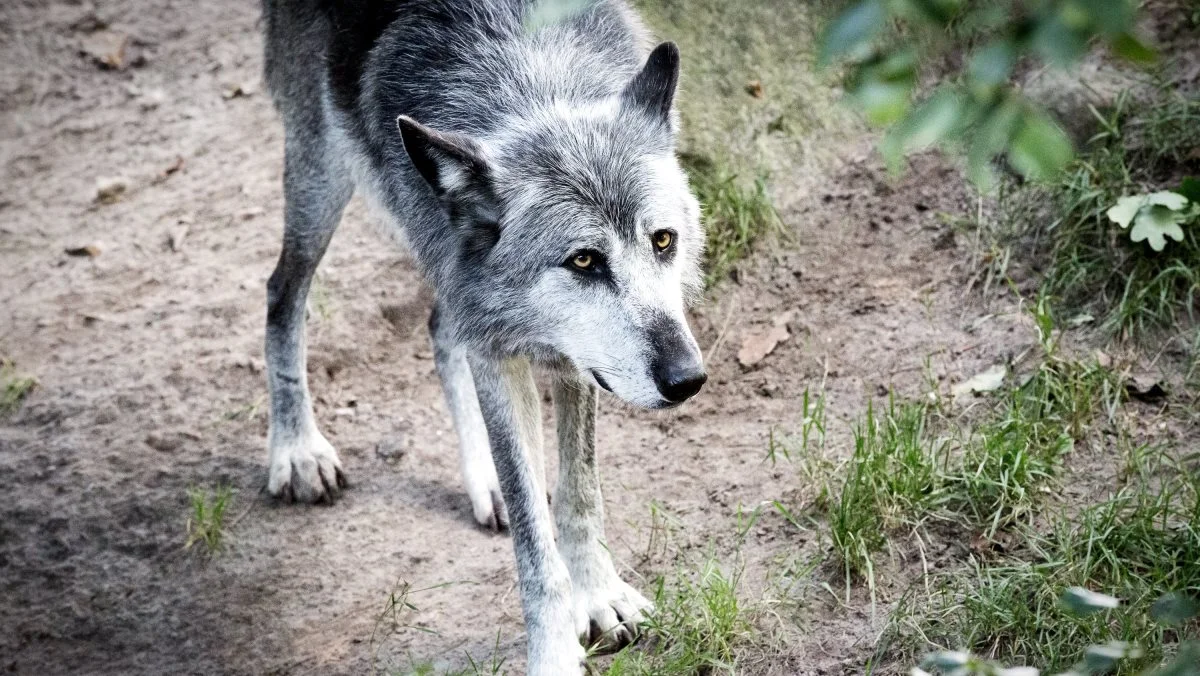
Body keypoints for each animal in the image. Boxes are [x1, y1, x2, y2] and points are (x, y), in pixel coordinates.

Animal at [259, 0, 705, 667]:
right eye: (583, 261)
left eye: (663, 241)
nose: (687, 379)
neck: (528, 76)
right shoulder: (504, 347)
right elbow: (534, 539)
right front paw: (553, 655)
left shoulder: (574, 357)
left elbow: (578, 494)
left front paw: (599, 597)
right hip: (322, 171)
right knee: (281, 296)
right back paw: (297, 451)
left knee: (441, 327)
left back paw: (483, 480)